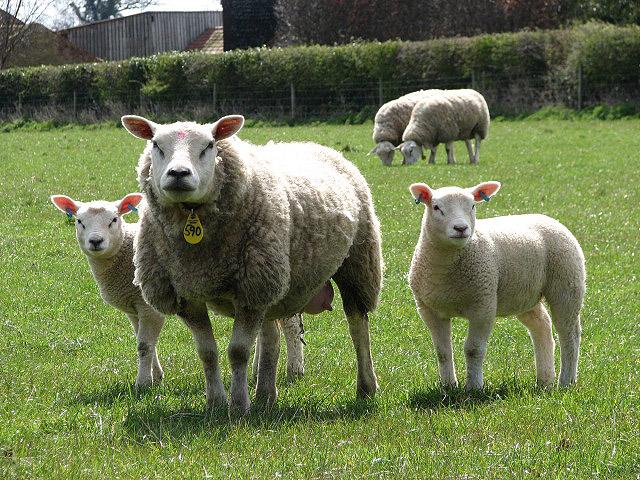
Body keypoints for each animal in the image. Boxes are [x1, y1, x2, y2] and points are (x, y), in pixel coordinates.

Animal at [50, 193, 307, 388]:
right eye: (79, 221)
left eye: (114, 219)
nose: (96, 241)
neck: (125, 251)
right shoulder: (134, 309)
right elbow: (145, 341)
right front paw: (156, 377)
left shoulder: (148, 306)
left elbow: (144, 345)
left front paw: (142, 384)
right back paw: (257, 372)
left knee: (291, 327)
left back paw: (294, 370)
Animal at [121, 114, 383, 417]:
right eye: (156, 144)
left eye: (209, 145)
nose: (178, 174)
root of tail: (311, 144)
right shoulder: (188, 296)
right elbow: (207, 352)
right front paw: (215, 403)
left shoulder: (250, 290)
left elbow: (238, 351)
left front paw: (238, 406)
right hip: (271, 281)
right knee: (271, 336)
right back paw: (266, 395)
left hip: (356, 263)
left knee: (357, 326)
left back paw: (366, 387)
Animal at [407, 181, 585, 389]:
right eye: (436, 207)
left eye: (473, 206)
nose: (461, 228)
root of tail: (549, 218)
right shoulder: (429, 311)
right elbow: (442, 352)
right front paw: (449, 386)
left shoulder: (483, 306)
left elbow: (473, 349)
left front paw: (474, 387)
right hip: (525, 294)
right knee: (542, 326)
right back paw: (544, 380)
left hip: (567, 285)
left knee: (569, 335)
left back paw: (566, 381)